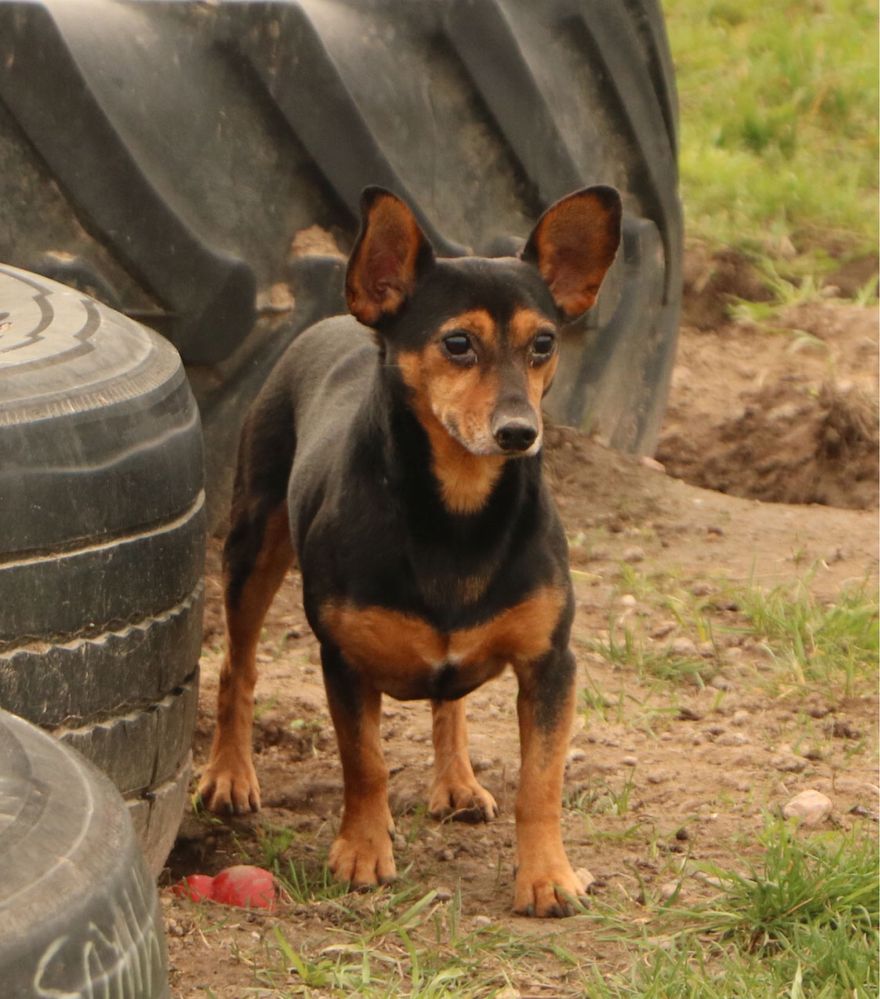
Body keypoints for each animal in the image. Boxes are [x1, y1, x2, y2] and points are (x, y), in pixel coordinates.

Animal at [202, 184, 624, 916]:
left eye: (543, 344)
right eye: (457, 344)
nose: (520, 431)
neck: (458, 511)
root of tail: (339, 321)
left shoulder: (550, 664)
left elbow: (540, 782)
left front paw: (547, 875)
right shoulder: (343, 660)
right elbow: (364, 763)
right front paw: (363, 851)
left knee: (448, 704)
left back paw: (456, 782)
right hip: (253, 544)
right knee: (238, 666)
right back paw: (229, 774)